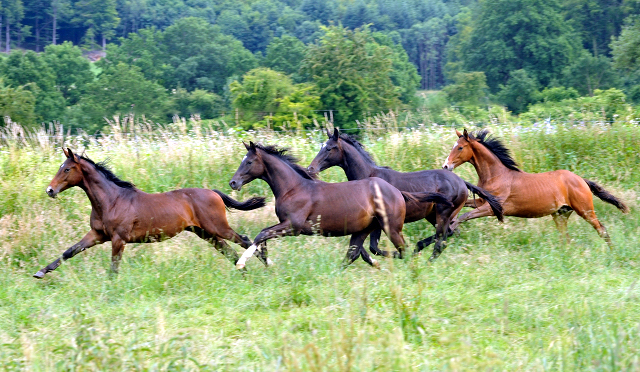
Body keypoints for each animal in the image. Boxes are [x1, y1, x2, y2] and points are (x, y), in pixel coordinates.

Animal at [33, 147, 268, 278]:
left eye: (66, 169)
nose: (50, 190)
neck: (111, 200)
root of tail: (213, 192)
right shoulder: (97, 235)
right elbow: (68, 252)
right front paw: (40, 272)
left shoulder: (118, 239)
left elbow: (114, 267)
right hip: (205, 233)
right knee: (228, 251)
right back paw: (243, 271)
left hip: (217, 227)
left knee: (244, 240)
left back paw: (264, 264)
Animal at [228, 142, 452, 268]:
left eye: (249, 162)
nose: (233, 182)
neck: (294, 187)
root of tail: (397, 192)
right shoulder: (286, 225)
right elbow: (263, 236)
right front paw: (266, 261)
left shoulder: (294, 226)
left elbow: (262, 234)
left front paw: (242, 263)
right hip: (364, 229)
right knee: (354, 253)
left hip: (391, 227)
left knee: (403, 248)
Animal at [308, 129, 508, 260]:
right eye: (321, 146)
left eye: (329, 148)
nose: (311, 168)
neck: (370, 175)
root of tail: (462, 182)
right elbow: (369, 248)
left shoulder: (381, 221)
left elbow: (374, 247)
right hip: (433, 215)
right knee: (449, 233)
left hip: (443, 213)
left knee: (442, 238)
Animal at [442, 129, 628, 246]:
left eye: (460, 147)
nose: (446, 166)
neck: (497, 175)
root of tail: (581, 180)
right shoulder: (482, 202)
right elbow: (464, 208)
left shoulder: (493, 208)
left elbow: (464, 216)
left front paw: (451, 230)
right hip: (560, 214)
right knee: (565, 237)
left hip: (585, 210)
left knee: (601, 229)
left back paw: (611, 252)